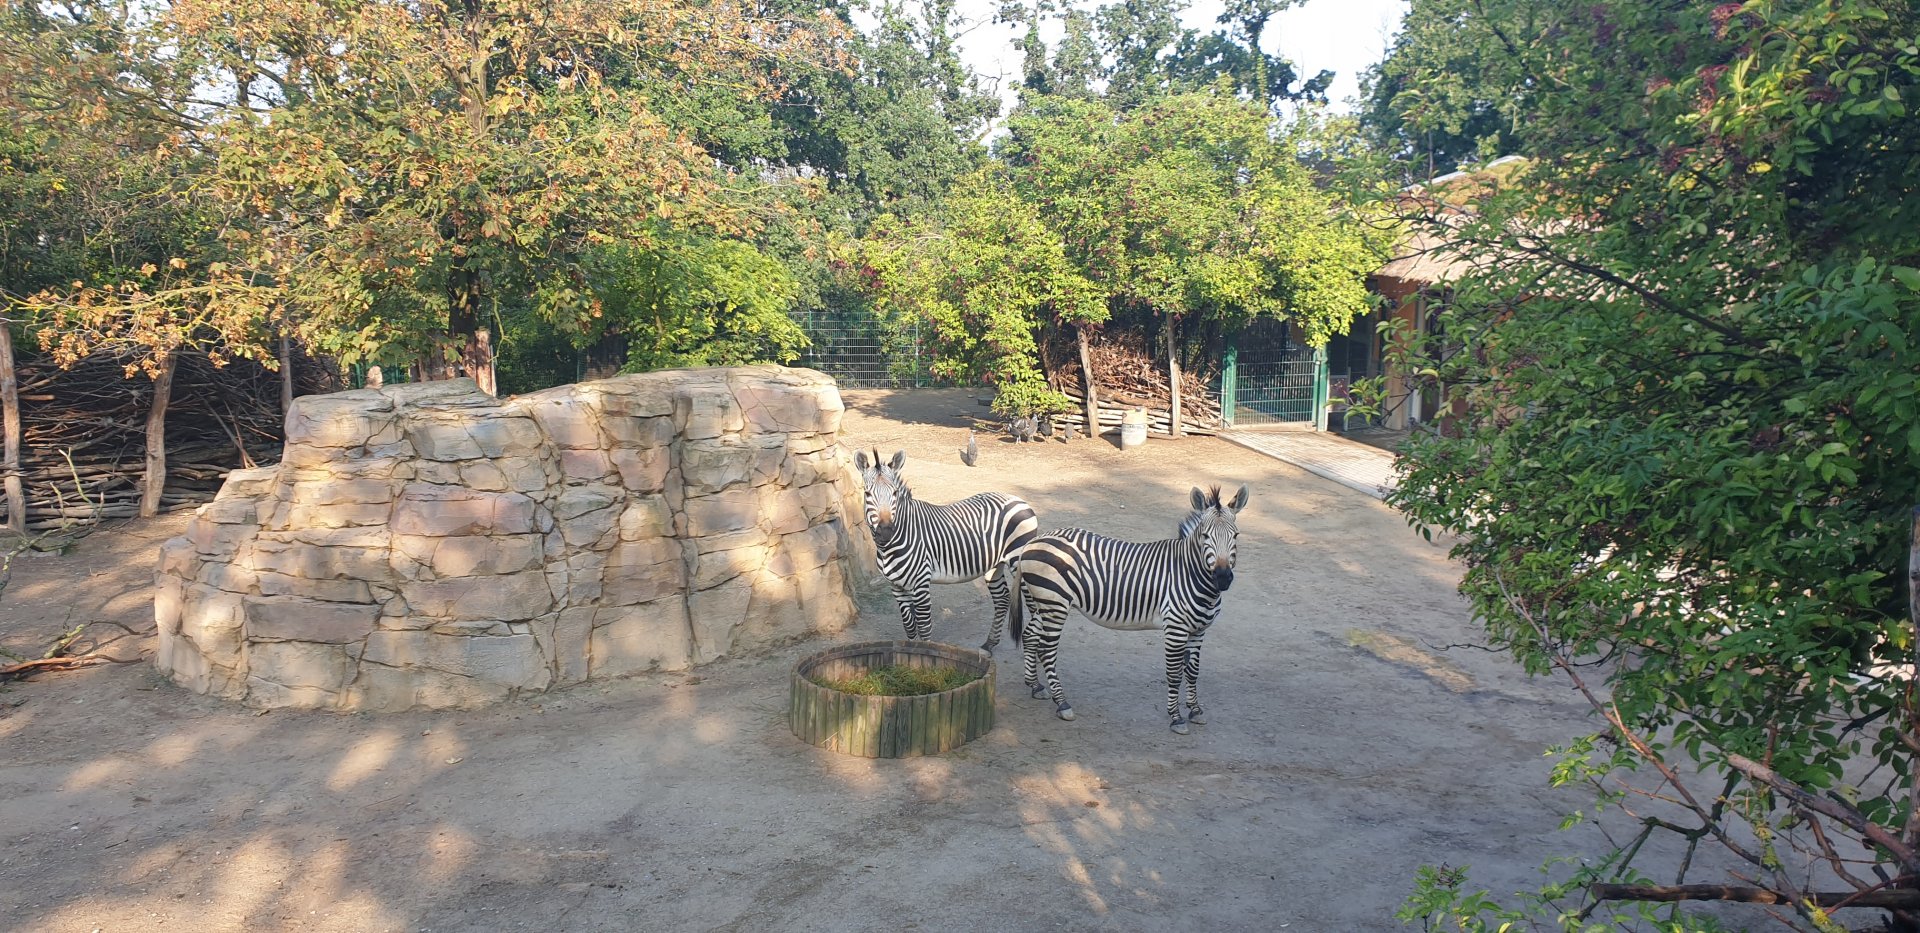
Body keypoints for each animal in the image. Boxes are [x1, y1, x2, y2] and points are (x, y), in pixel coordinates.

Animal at [853, 448, 1040, 651]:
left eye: (895, 493)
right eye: (867, 493)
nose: (886, 532)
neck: (891, 547)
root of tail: (1017, 499)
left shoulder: (921, 583)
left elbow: (924, 627)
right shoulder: (896, 586)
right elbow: (909, 626)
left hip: (1018, 561)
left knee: (1036, 608)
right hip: (994, 565)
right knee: (1002, 599)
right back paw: (989, 644)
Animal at [1010, 484, 1249, 734]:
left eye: (1236, 535)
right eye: (1205, 536)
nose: (1223, 578)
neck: (1189, 573)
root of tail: (1033, 542)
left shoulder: (1199, 630)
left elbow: (1193, 672)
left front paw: (1195, 710)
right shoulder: (1175, 628)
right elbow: (1174, 673)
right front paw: (1176, 717)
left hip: (1045, 603)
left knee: (1029, 636)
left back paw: (1035, 685)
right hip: (1055, 604)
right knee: (1046, 650)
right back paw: (1062, 703)